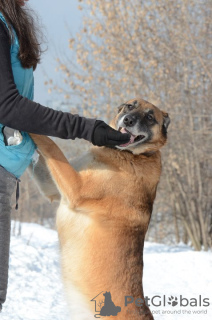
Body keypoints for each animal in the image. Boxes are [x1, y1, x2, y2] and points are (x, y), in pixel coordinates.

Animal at [28, 98, 171, 320]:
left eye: (149, 116)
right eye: (130, 106)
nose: (128, 120)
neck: (133, 155)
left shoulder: (76, 189)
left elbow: (50, 144)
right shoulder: (52, 187)